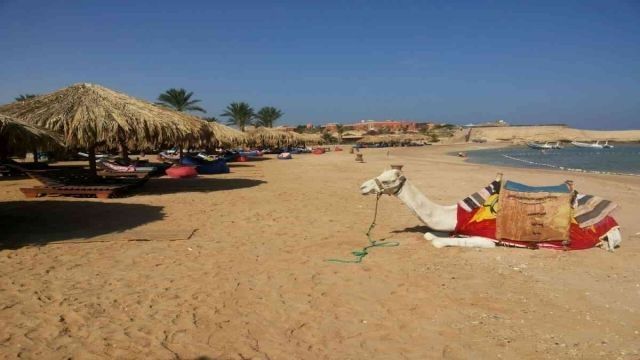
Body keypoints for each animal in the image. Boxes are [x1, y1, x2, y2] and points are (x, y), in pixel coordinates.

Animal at [362, 169, 624, 250]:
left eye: (387, 179)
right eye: (380, 174)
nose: (362, 186)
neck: (458, 214)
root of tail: (612, 219)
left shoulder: (488, 239)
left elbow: (437, 241)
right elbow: (429, 234)